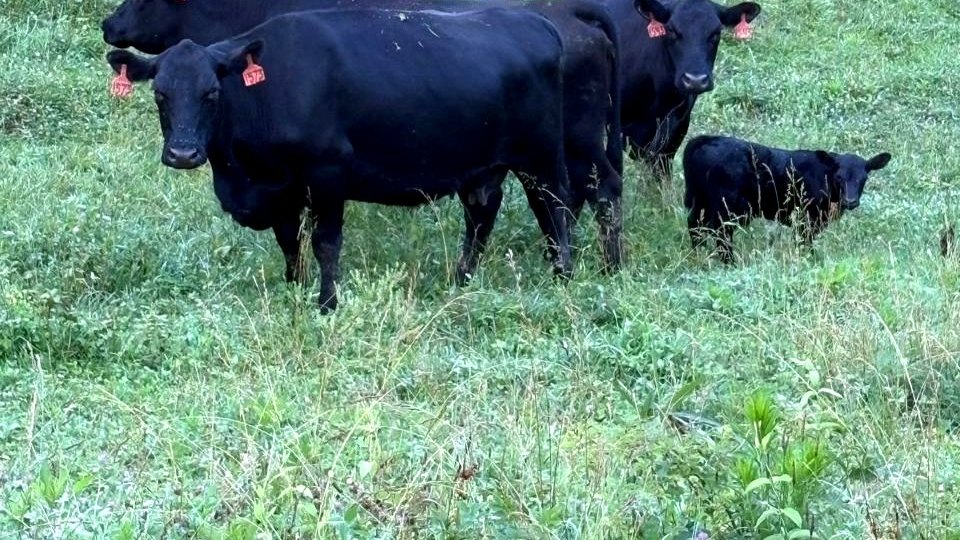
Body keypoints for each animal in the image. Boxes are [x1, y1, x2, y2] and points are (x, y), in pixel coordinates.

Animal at [106, 8, 574, 311]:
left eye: (211, 93)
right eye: (160, 94)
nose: (183, 153)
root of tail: (536, 22)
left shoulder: (327, 175)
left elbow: (325, 243)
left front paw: (327, 303)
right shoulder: (282, 189)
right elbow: (289, 242)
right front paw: (294, 288)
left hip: (541, 158)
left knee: (553, 208)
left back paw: (563, 276)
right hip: (482, 167)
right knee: (481, 216)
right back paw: (462, 279)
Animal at [682, 135, 892, 263]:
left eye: (863, 178)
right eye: (839, 176)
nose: (851, 201)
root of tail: (702, 140)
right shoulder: (806, 219)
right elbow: (804, 243)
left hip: (699, 200)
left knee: (695, 224)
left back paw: (698, 253)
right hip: (725, 207)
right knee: (720, 232)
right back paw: (729, 262)